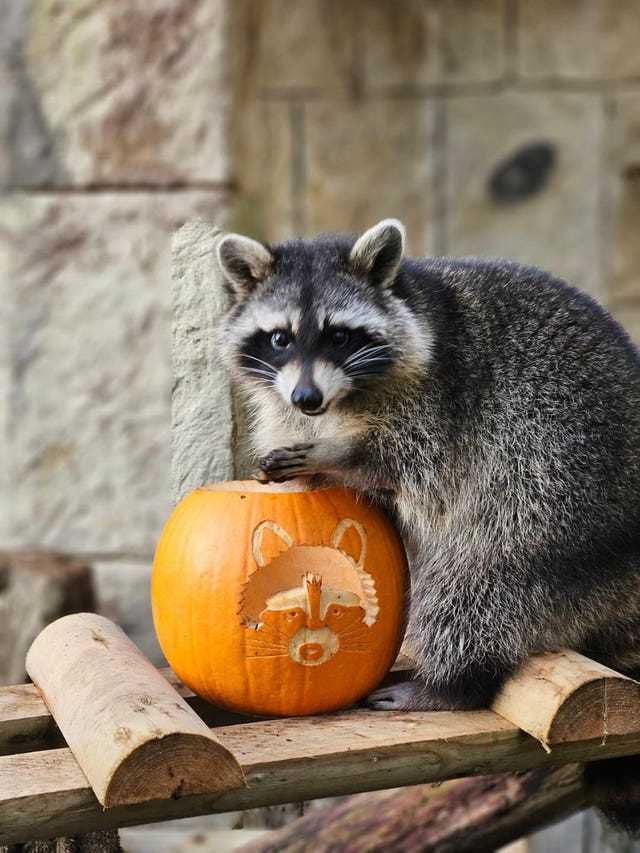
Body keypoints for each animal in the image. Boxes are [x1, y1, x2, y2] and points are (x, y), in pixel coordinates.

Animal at [216, 220, 640, 832]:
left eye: (339, 336)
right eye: (278, 338)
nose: (307, 397)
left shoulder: (444, 398)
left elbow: (413, 465)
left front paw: (339, 456)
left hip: (562, 487)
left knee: (481, 577)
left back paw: (455, 683)